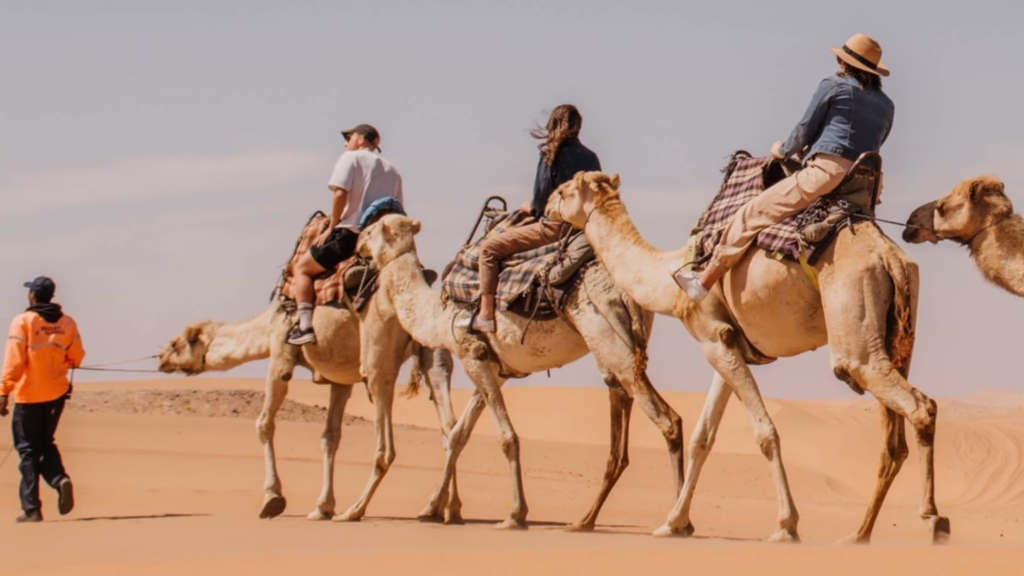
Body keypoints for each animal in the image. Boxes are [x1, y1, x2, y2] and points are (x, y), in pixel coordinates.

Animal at [158, 297, 462, 523]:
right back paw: (443, 508)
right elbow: (330, 437)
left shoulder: (281, 354)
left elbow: (264, 423)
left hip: (379, 359)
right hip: (433, 349)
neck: (268, 324)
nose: (161, 358)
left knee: (387, 445)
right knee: (451, 429)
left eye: (176, 343)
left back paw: (356, 510)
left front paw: (272, 498)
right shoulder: (341, 380)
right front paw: (322, 506)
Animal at [355, 213, 685, 531]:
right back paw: (590, 520)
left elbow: (507, 437)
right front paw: (433, 508)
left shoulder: (471, 356)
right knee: (639, 414)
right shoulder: (493, 368)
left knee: (666, 419)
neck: (437, 315)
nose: (358, 243)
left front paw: (515, 514)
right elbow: (458, 435)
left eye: (373, 230)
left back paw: (675, 522)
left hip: (608, 337)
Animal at [547, 170, 950, 544]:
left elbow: (765, 432)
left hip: (856, 336)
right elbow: (702, 438)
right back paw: (859, 534)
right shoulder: (725, 345)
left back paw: (933, 519)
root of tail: (889, 257)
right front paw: (673, 523)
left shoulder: (715, 340)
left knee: (917, 405)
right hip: (898, 336)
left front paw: (786, 525)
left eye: (564, 191)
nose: (547, 206)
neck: (667, 282)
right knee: (894, 442)